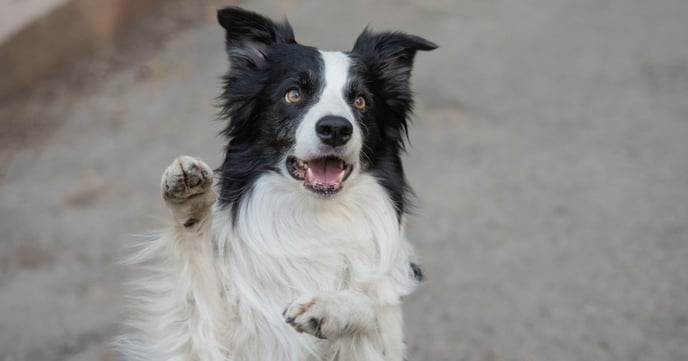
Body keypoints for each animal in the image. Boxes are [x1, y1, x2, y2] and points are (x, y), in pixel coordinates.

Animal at [118, 6, 436, 360]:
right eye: (293, 94)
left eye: (361, 101)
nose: (336, 128)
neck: (313, 215)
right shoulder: (213, 340)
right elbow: (196, 286)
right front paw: (190, 198)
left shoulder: (382, 336)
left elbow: (370, 309)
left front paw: (329, 306)